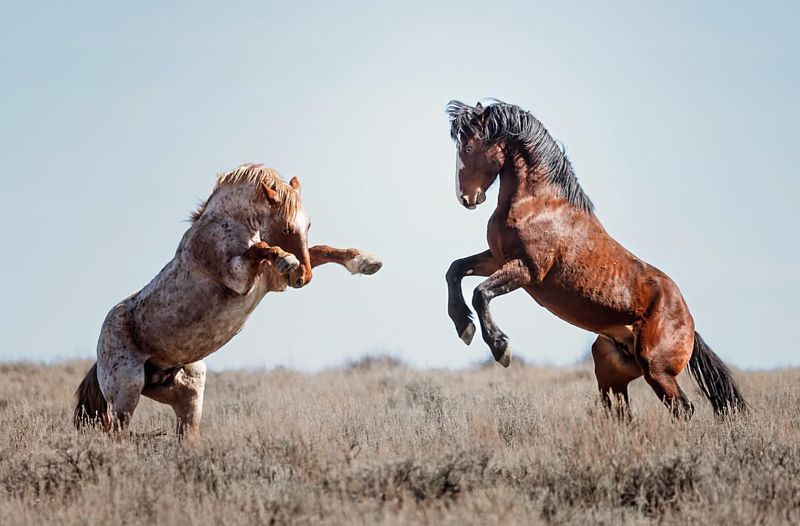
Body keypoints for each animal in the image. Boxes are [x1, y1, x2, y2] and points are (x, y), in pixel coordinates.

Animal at [76, 165, 384, 442]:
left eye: (308, 224)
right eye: (286, 227)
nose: (303, 278)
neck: (227, 227)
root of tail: (100, 351)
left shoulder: (272, 281)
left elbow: (320, 250)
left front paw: (366, 261)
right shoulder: (242, 277)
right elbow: (262, 248)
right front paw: (287, 258)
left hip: (187, 393)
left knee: (186, 435)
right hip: (127, 391)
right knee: (117, 434)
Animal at [446, 101, 748, 418]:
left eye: (468, 148)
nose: (466, 198)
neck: (537, 204)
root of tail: (689, 323)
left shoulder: (528, 270)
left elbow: (481, 293)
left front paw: (500, 347)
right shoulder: (497, 259)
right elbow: (455, 270)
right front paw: (463, 326)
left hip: (656, 370)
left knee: (683, 409)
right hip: (610, 369)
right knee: (623, 411)